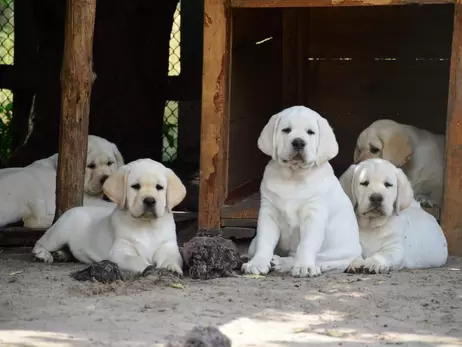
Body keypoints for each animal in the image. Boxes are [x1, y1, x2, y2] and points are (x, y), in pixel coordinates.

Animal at [31, 159, 187, 276]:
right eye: (135, 186)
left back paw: (61, 254)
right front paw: (148, 267)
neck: (146, 224)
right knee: (40, 242)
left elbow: (172, 258)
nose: (149, 200)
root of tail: (74, 209)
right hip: (59, 234)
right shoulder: (120, 251)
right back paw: (43, 254)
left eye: (159, 187)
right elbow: (134, 259)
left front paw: (172, 268)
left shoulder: (168, 246)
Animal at [240, 104, 362, 278]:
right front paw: (257, 263)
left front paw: (305, 266)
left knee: (312, 259)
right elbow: (264, 241)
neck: (293, 176)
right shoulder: (268, 212)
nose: (298, 142)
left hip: (336, 257)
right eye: (286, 130)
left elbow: (306, 244)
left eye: (310, 132)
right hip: (254, 242)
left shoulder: (314, 214)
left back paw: (282, 262)